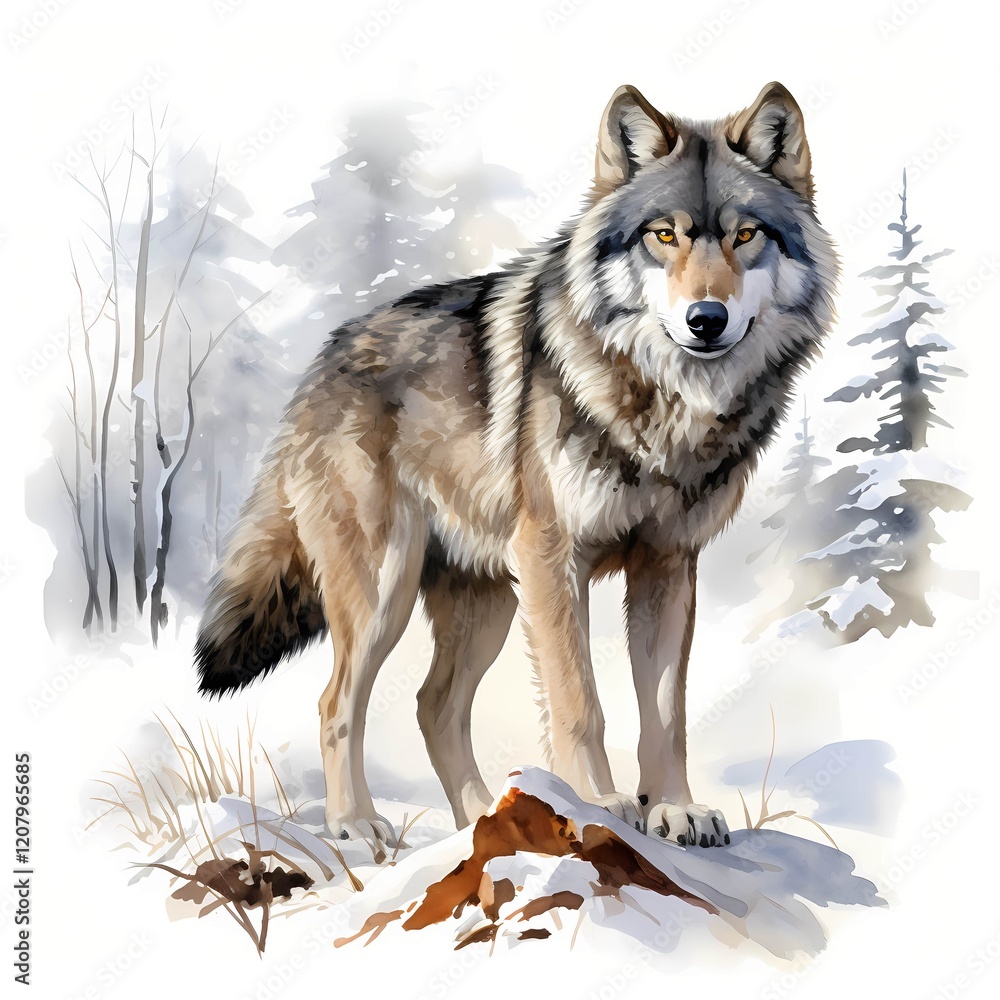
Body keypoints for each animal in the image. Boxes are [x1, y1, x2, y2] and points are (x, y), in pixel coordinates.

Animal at [196, 82, 837, 849]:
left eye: (747, 236)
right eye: (663, 235)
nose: (706, 319)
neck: (662, 407)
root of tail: (326, 357)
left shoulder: (667, 565)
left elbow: (666, 713)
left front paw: (674, 809)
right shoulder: (553, 557)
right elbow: (579, 699)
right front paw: (599, 803)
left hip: (488, 600)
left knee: (433, 706)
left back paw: (483, 819)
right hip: (386, 590)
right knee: (336, 703)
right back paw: (356, 824)